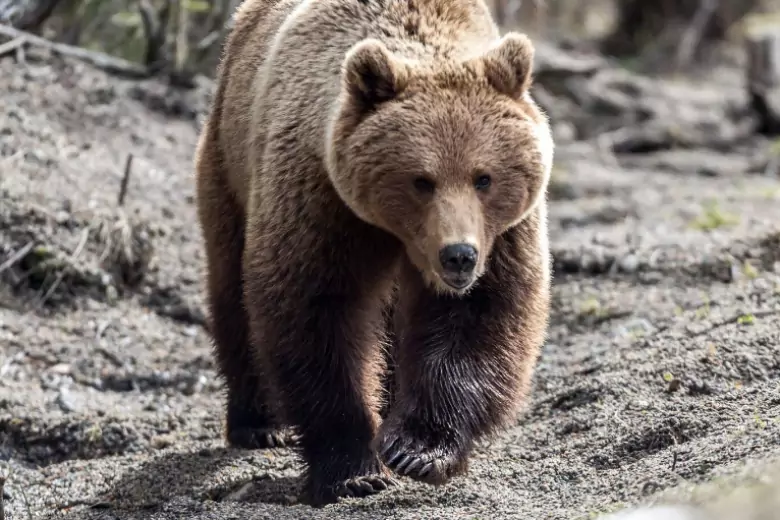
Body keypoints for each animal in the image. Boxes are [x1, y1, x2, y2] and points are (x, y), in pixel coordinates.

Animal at [195, 0, 556, 508]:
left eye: (483, 177)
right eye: (421, 180)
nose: (458, 256)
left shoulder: (502, 234)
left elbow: (480, 315)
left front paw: (418, 449)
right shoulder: (322, 201)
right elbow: (318, 314)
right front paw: (354, 470)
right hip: (229, 163)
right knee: (232, 289)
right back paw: (259, 423)